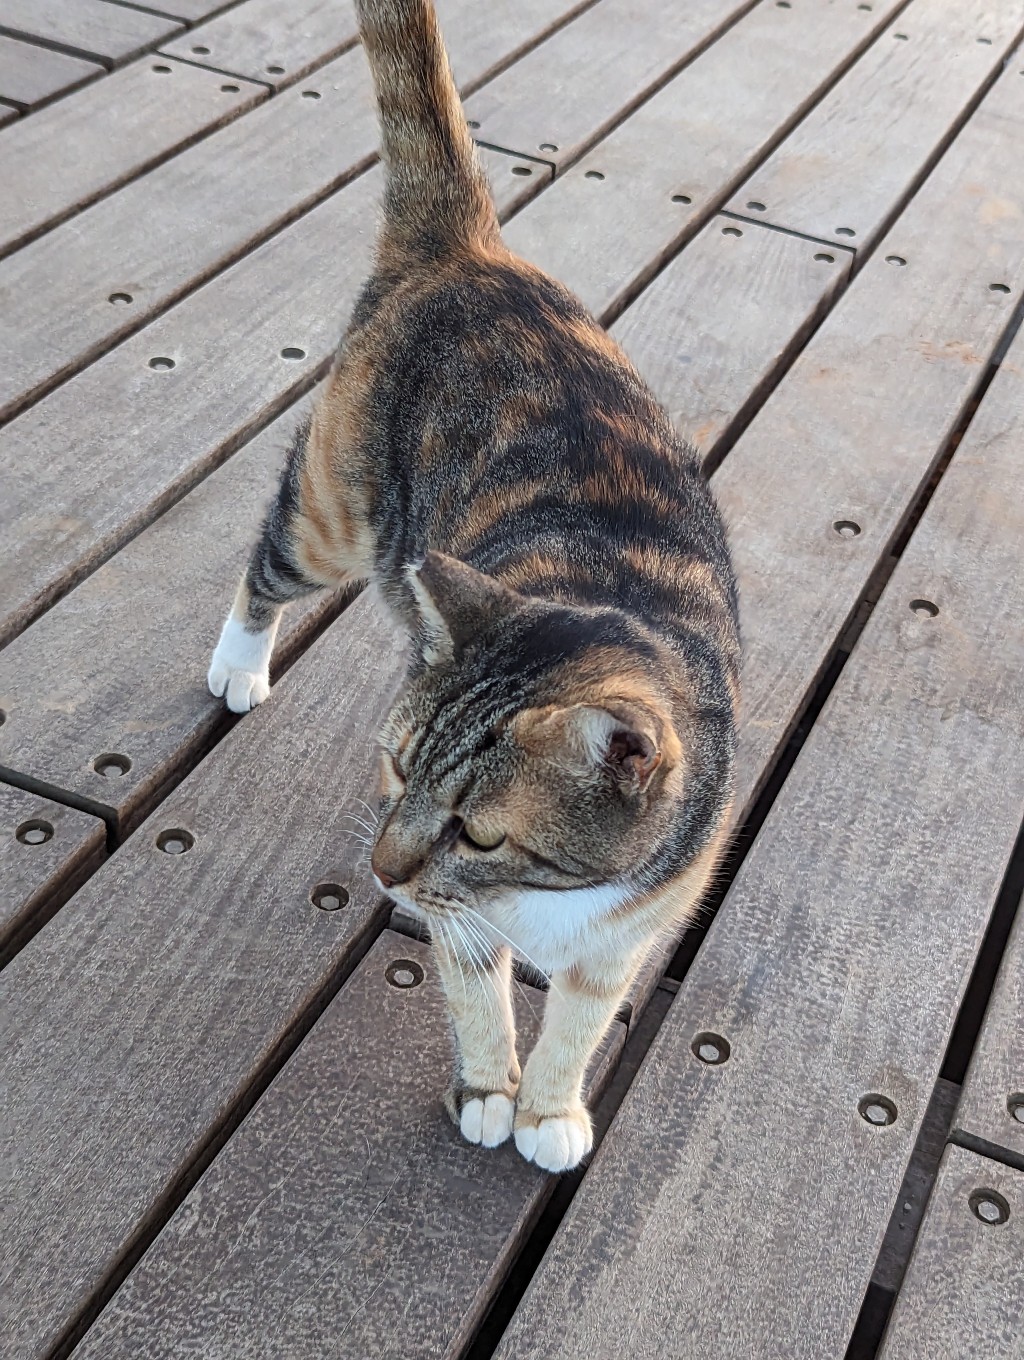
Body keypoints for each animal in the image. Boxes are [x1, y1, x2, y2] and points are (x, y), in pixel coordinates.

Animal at [209, 0, 734, 1175]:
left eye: (483, 833)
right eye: (397, 766)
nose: (383, 873)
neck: (545, 898)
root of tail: (470, 251)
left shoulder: (629, 929)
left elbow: (582, 1016)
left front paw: (550, 1106)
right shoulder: (458, 920)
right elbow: (473, 985)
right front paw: (492, 1088)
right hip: (334, 515)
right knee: (264, 558)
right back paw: (238, 661)